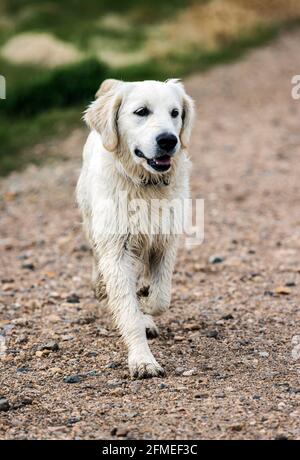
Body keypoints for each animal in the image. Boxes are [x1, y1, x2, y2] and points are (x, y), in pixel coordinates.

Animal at [76, 79, 196, 380]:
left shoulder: (165, 241)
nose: (169, 140)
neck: (146, 185)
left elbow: (161, 297)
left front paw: (147, 302)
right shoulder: (116, 247)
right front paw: (142, 361)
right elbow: (128, 312)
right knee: (96, 258)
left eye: (175, 113)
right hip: (90, 221)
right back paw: (102, 286)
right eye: (141, 112)